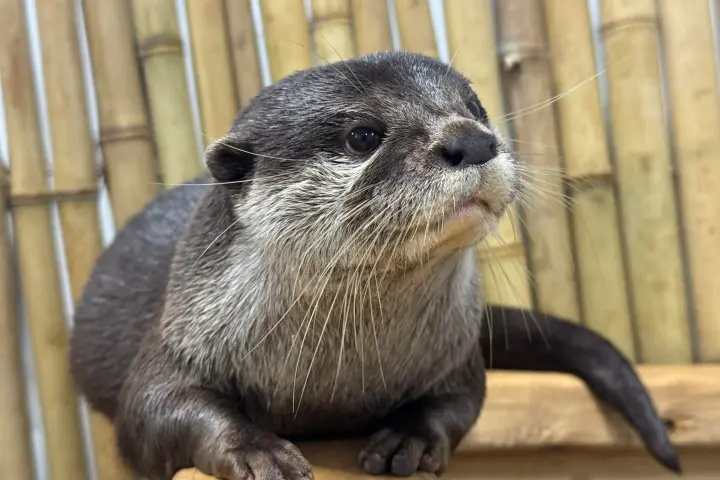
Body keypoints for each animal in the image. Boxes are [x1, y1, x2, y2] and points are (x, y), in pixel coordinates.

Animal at [70, 51, 678, 480]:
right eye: (362, 135)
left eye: (475, 109)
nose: (472, 139)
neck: (335, 381)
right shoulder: (181, 333)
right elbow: (152, 410)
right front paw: (259, 451)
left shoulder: (455, 355)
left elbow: (461, 402)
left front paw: (410, 436)